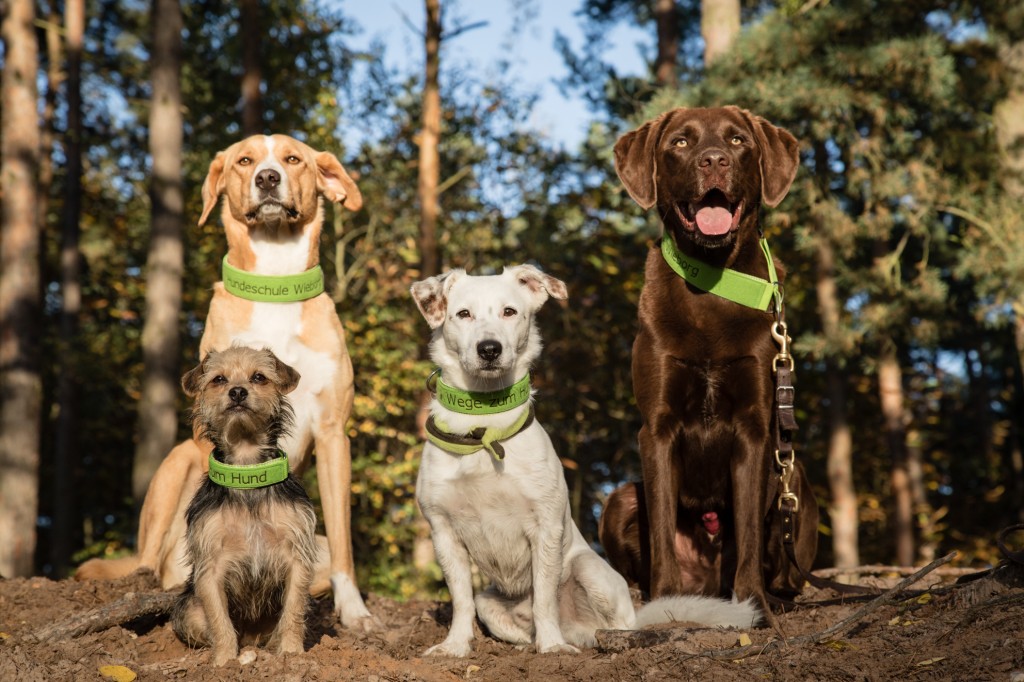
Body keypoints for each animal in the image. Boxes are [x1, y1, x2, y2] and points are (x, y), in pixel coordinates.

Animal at [76, 135, 376, 630]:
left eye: (293, 158)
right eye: (245, 160)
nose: (268, 178)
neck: (275, 283)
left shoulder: (334, 433)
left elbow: (344, 542)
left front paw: (354, 611)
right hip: (174, 464)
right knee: (150, 560)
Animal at [409, 261, 761, 655]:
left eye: (509, 312)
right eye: (463, 314)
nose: (489, 349)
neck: (485, 428)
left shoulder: (545, 528)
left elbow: (544, 598)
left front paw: (552, 648)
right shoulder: (444, 533)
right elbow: (461, 600)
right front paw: (455, 646)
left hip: (590, 570)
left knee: (615, 623)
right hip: (493, 603)